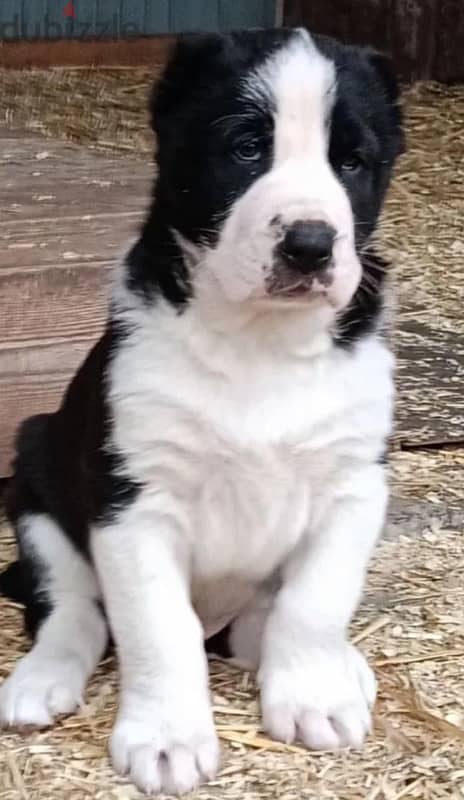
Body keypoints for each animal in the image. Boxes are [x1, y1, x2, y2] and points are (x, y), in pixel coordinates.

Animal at [0, 29, 402, 792]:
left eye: (351, 161)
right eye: (245, 148)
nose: (309, 244)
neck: (261, 341)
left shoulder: (353, 487)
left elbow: (314, 605)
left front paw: (313, 695)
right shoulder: (133, 504)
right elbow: (159, 629)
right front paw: (166, 738)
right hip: (37, 481)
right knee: (72, 609)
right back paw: (40, 679)